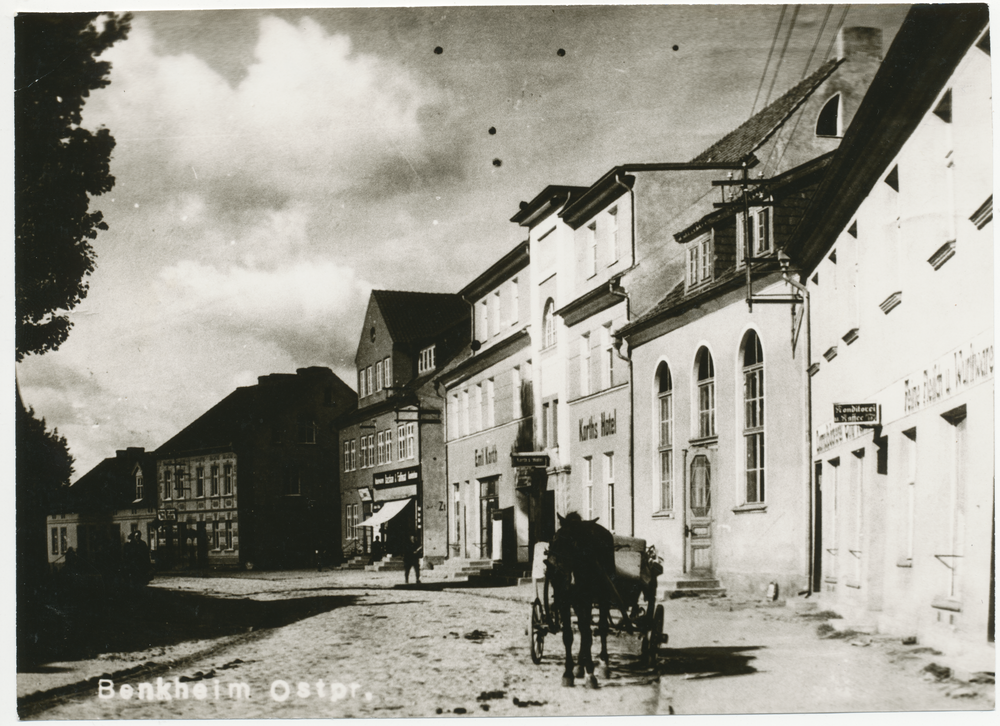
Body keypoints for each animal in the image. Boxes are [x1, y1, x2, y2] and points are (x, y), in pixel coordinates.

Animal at [544, 512, 628, 688]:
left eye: (577, 542)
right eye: (557, 538)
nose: (557, 570)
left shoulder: (586, 598)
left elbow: (588, 632)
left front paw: (591, 673)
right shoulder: (564, 599)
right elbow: (568, 635)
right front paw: (569, 672)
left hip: (603, 594)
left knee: (600, 626)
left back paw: (603, 664)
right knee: (584, 629)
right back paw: (579, 666)